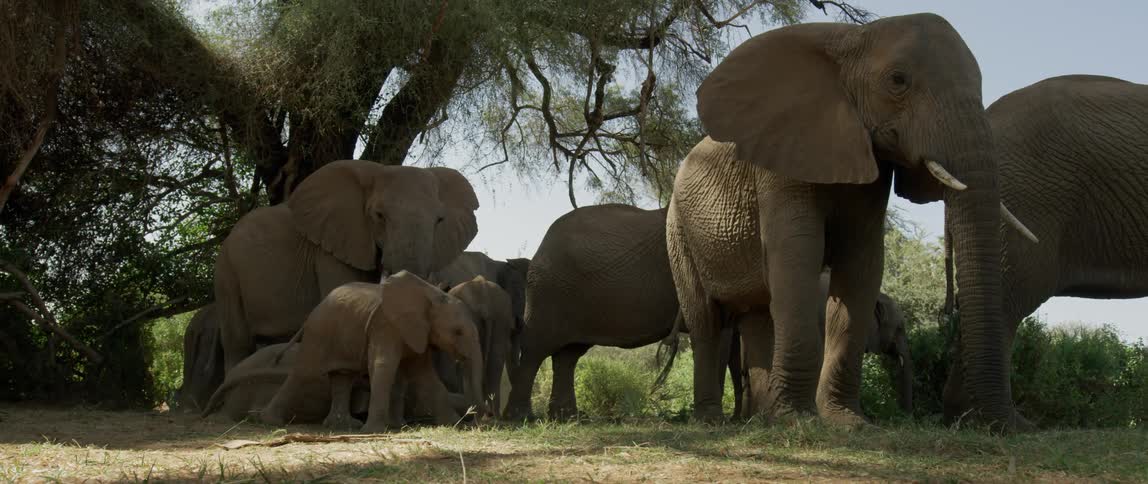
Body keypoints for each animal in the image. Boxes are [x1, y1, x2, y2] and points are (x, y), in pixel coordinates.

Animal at [260, 271, 485, 433]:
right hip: (319, 333)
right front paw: (375, 431)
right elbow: (383, 365)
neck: (431, 295)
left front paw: (455, 425)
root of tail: (315, 309)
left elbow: (425, 375)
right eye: (457, 332)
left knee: (342, 378)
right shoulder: (385, 326)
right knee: (304, 373)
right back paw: (271, 422)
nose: (476, 421)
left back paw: (344, 426)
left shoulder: (418, 332)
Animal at [666, 13, 1035, 428]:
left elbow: (862, 265)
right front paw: (798, 420)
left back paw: (758, 421)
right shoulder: (782, 160)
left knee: (757, 317)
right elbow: (798, 256)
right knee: (706, 321)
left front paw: (847, 422)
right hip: (677, 230)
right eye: (897, 80)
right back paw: (712, 420)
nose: (1011, 426)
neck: (852, 39)